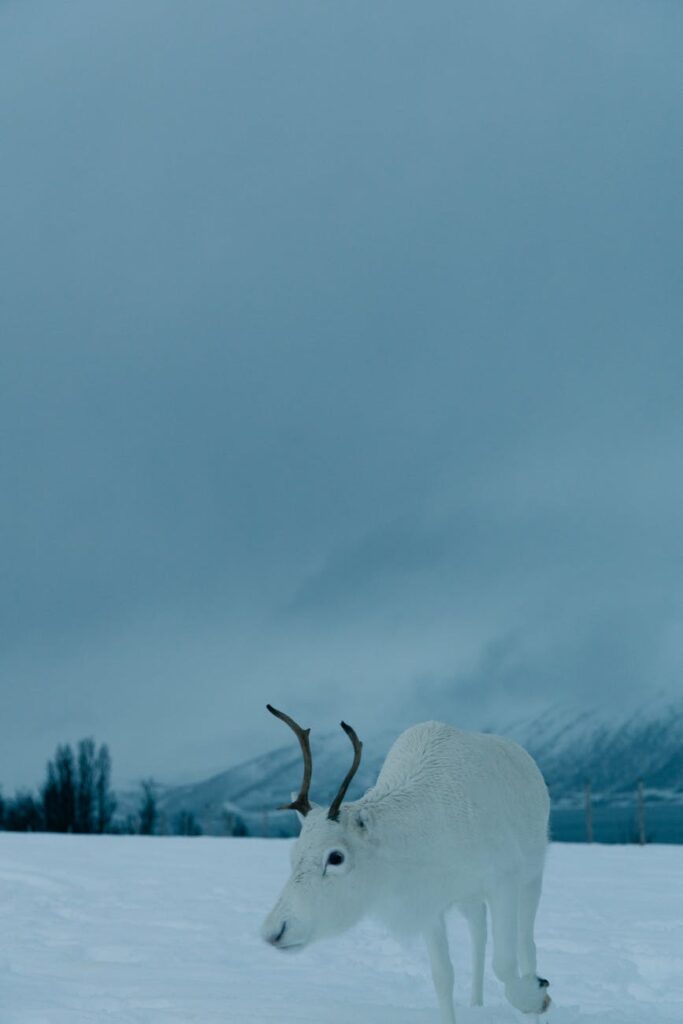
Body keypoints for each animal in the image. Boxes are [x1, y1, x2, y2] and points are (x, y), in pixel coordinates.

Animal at [261, 706, 551, 1024]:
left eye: (335, 857)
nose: (274, 931)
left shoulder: (504, 879)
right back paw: (476, 1002)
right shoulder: (429, 902)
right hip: (469, 897)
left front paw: (535, 997)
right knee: (479, 933)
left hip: (532, 875)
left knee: (527, 946)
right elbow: (443, 977)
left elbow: (505, 962)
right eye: (293, 854)